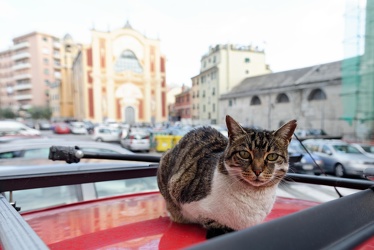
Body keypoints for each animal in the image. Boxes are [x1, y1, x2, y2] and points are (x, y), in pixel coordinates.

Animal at [156, 115, 296, 238]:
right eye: (244, 154)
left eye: (272, 156)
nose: (257, 170)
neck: (254, 196)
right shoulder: (183, 195)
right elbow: (208, 219)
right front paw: (221, 229)